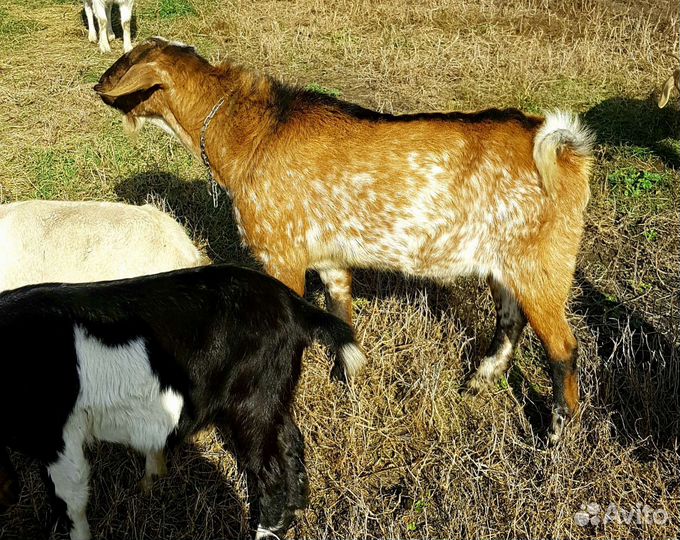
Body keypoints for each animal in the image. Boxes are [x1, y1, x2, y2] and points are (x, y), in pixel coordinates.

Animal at [0, 263, 362, 540]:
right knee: (290, 443)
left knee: (270, 469)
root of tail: (292, 304)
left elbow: (70, 497)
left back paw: (264, 532)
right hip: (271, 394)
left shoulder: (55, 434)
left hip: (253, 401)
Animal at [95, 37, 595, 442]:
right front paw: (349, 380)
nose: (98, 84)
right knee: (510, 319)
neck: (252, 134)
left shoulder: (282, 256)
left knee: (563, 349)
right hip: (504, 264)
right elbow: (341, 317)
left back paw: (556, 436)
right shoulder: (330, 258)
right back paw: (478, 381)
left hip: (541, 265)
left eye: (127, 60)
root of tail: (565, 151)